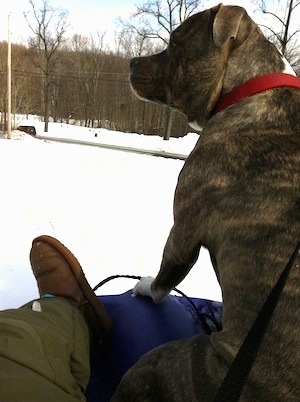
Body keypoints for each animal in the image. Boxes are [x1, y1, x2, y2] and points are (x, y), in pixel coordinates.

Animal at [110, 3, 300, 402]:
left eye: (174, 41)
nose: (133, 61)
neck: (246, 89)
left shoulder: (184, 229)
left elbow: (165, 277)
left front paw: (145, 286)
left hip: (161, 364)